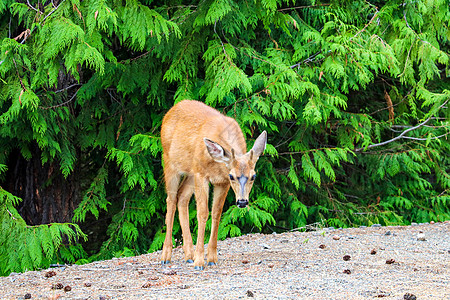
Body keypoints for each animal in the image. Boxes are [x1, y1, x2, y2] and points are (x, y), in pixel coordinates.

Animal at [160, 99, 268, 270]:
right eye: (232, 176)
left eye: (253, 176)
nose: (242, 202)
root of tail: (170, 111)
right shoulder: (201, 174)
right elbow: (202, 213)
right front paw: (199, 261)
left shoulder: (221, 182)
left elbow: (216, 213)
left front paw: (211, 258)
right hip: (170, 163)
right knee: (170, 200)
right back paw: (166, 256)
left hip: (190, 172)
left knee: (182, 197)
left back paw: (188, 255)